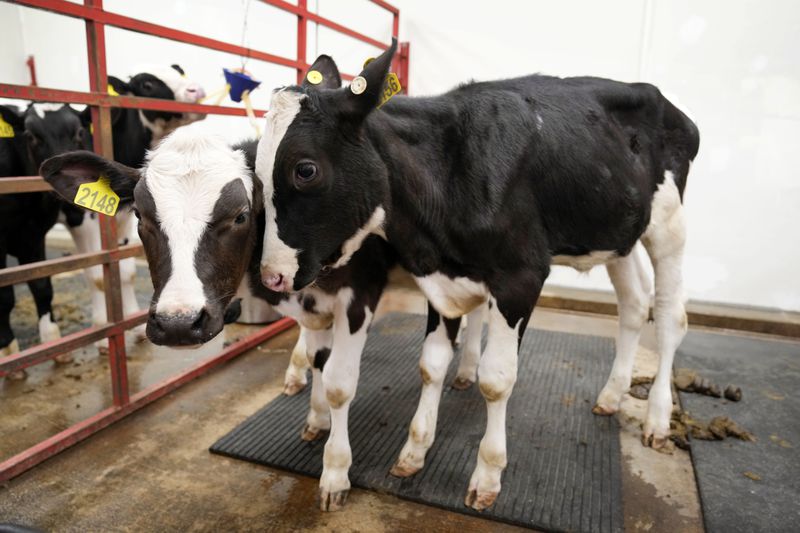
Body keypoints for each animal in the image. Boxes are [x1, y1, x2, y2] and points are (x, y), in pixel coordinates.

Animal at [258, 39, 700, 510]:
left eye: (305, 169)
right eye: (257, 170)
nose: (270, 276)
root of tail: (659, 97)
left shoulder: (521, 277)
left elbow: (496, 380)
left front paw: (487, 477)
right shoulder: (439, 278)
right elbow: (431, 365)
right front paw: (414, 451)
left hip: (669, 225)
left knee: (670, 317)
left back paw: (657, 419)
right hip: (620, 232)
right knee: (633, 305)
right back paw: (612, 396)